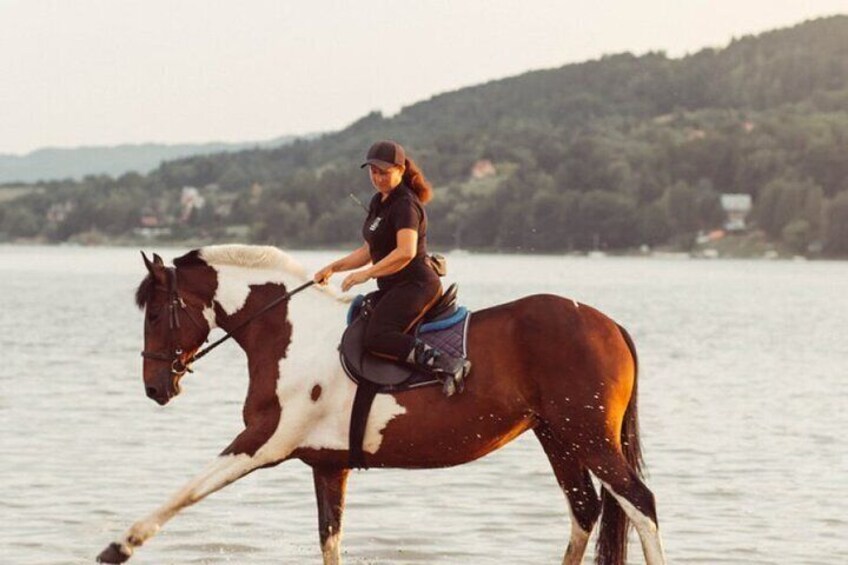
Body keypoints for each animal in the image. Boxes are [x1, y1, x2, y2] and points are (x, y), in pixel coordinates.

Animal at [99, 245, 664, 564]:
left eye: (155, 315)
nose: (155, 387)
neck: (289, 333)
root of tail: (609, 324)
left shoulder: (264, 441)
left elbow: (187, 491)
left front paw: (119, 546)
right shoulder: (327, 464)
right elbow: (331, 541)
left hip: (586, 434)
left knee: (640, 503)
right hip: (557, 436)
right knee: (585, 510)